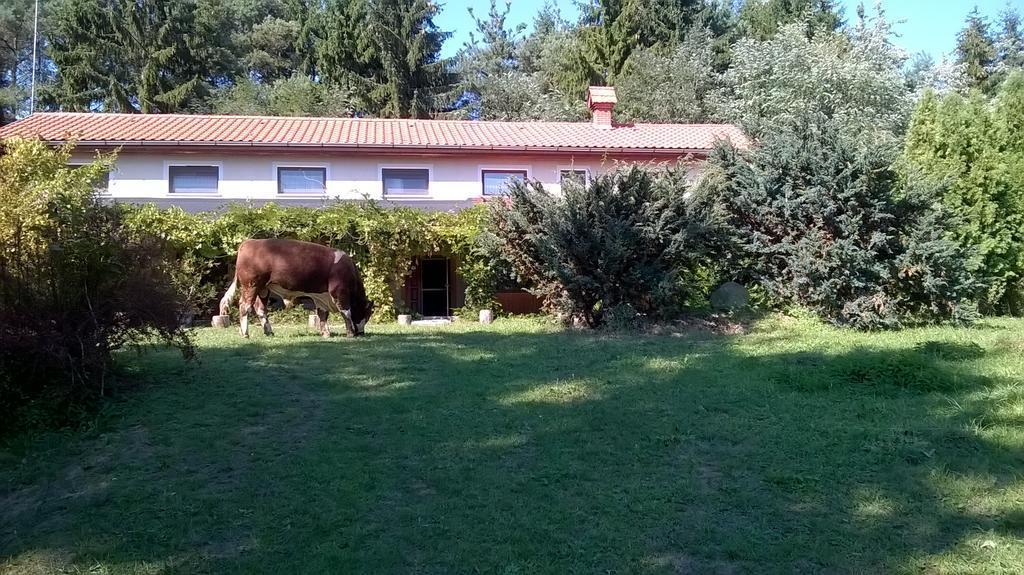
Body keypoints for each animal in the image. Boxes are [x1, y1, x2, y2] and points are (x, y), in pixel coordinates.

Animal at [218, 237, 374, 335]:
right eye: (367, 314)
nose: (361, 333)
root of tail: (249, 242)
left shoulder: (322, 296)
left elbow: (322, 314)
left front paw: (326, 333)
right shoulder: (340, 292)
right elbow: (346, 313)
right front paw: (350, 333)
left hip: (263, 288)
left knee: (260, 308)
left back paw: (269, 332)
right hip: (251, 285)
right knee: (245, 306)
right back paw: (245, 333)